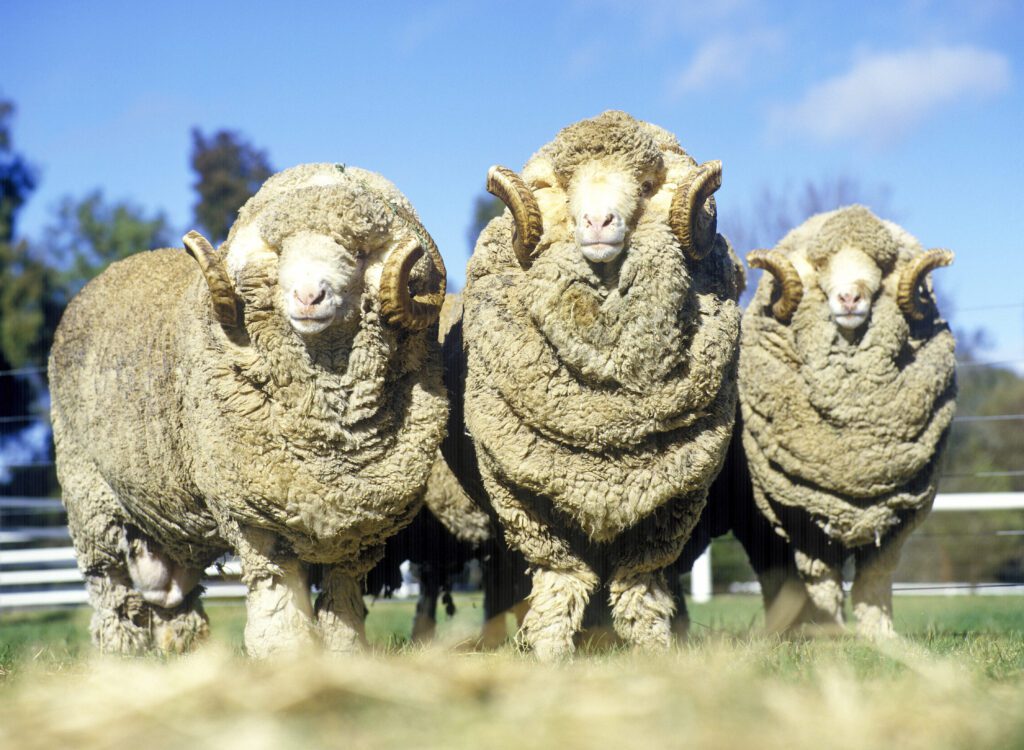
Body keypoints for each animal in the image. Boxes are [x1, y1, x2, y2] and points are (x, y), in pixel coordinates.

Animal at [48, 162, 448, 655]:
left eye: (357, 252)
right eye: (278, 252)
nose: (309, 296)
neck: (327, 439)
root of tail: (111, 271)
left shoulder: (359, 525)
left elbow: (342, 593)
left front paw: (345, 650)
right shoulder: (254, 514)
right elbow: (276, 587)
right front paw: (282, 651)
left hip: (163, 521)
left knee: (170, 595)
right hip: (88, 495)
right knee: (109, 586)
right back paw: (119, 654)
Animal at [452, 111, 741, 655]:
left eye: (646, 186)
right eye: (566, 188)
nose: (598, 223)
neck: (606, 426)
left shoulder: (671, 501)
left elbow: (640, 585)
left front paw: (653, 651)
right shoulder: (525, 499)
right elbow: (561, 579)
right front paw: (548, 652)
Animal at [741, 204, 954, 639]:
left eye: (883, 266)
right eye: (821, 265)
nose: (850, 297)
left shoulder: (900, 512)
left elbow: (876, 577)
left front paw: (881, 636)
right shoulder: (801, 512)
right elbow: (821, 579)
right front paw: (830, 634)